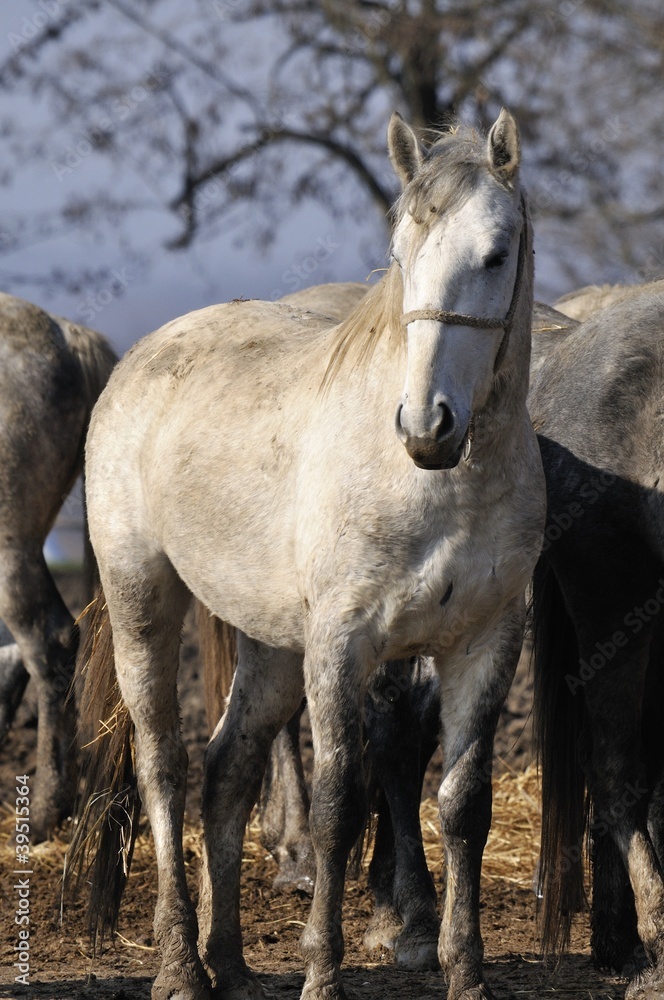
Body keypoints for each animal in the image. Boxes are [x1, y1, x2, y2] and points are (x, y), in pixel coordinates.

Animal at [70, 108, 544, 1000]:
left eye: (496, 255)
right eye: (401, 254)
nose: (427, 426)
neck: (435, 486)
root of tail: (142, 357)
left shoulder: (487, 642)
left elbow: (465, 806)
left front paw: (467, 975)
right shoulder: (342, 643)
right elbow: (336, 806)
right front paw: (322, 973)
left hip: (270, 646)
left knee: (225, 771)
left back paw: (228, 961)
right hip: (142, 602)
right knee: (164, 770)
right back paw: (180, 966)